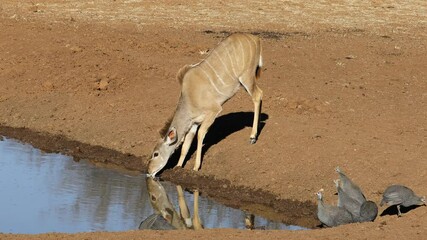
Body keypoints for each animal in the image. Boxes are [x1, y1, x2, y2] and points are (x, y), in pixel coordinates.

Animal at [148, 33, 264, 176]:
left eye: (156, 154)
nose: (148, 172)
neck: (189, 97)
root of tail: (256, 39)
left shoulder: (214, 111)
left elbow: (200, 135)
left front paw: (196, 167)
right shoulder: (194, 123)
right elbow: (186, 145)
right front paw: (178, 166)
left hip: (246, 77)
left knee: (257, 95)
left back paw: (253, 136)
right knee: (260, 94)